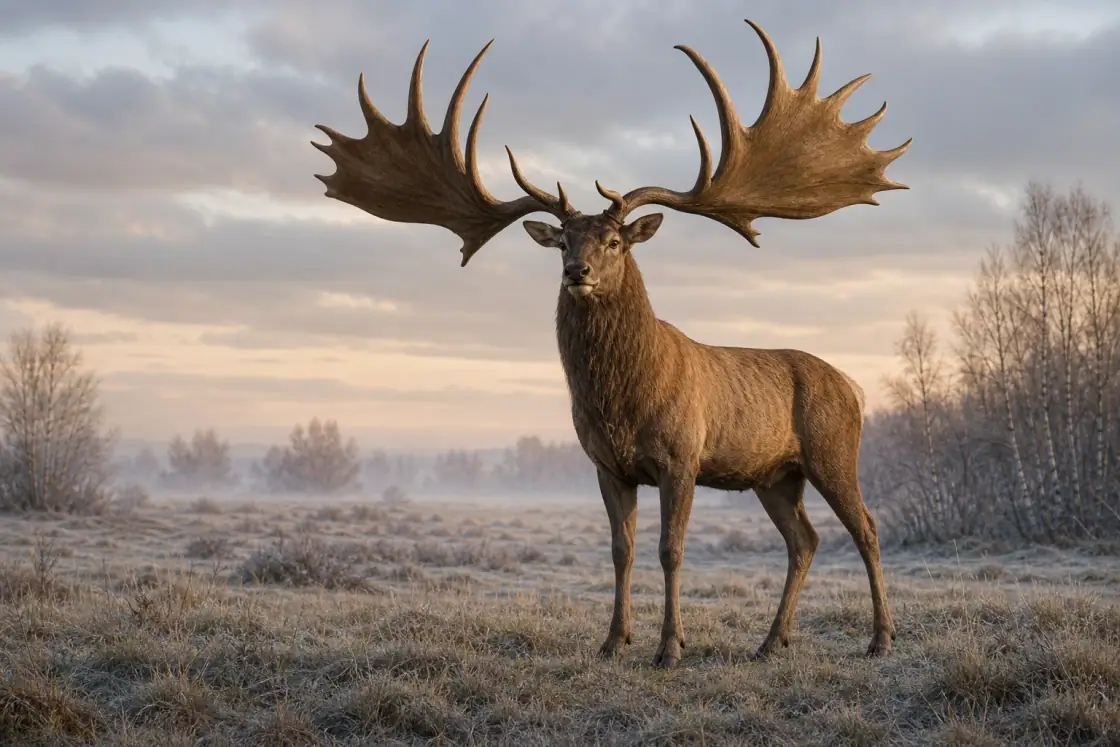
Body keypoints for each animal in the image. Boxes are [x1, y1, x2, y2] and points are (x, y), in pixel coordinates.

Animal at [311, 18, 911, 668]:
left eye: (615, 241)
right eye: (563, 240)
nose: (578, 271)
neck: (623, 402)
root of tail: (852, 385)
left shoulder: (682, 455)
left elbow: (670, 550)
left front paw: (670, 648)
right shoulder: (606, 464)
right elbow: (620, 551)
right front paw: (612, 641)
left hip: (833, 449)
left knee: (866, 527)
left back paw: (881, 638)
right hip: (775, 475)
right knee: (804, 539)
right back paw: (770, 642)